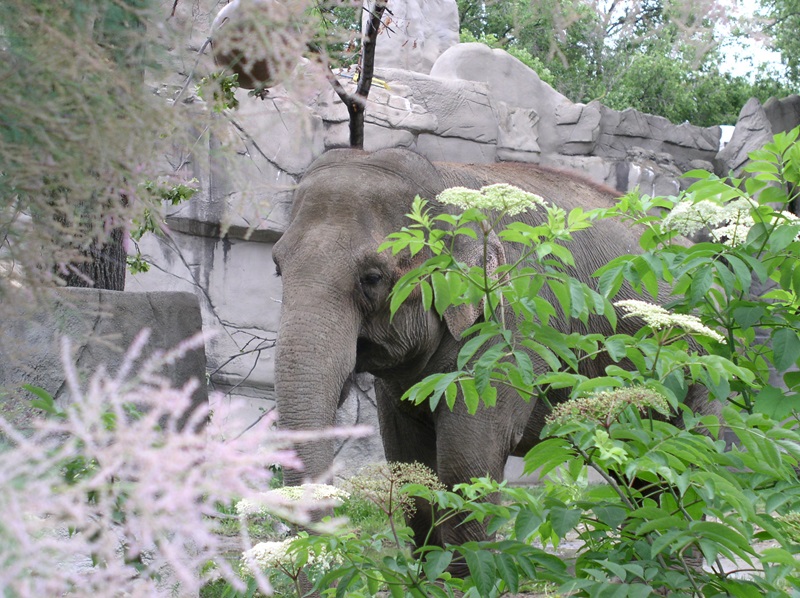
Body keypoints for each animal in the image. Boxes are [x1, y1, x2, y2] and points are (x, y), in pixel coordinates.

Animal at [272, 147, 711, 556]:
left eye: (373, 278)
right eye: (277, 267)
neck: (443, 179)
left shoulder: (513, 325)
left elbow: (466, 465)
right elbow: (409, 463)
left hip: (699, 366)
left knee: (682, 470)